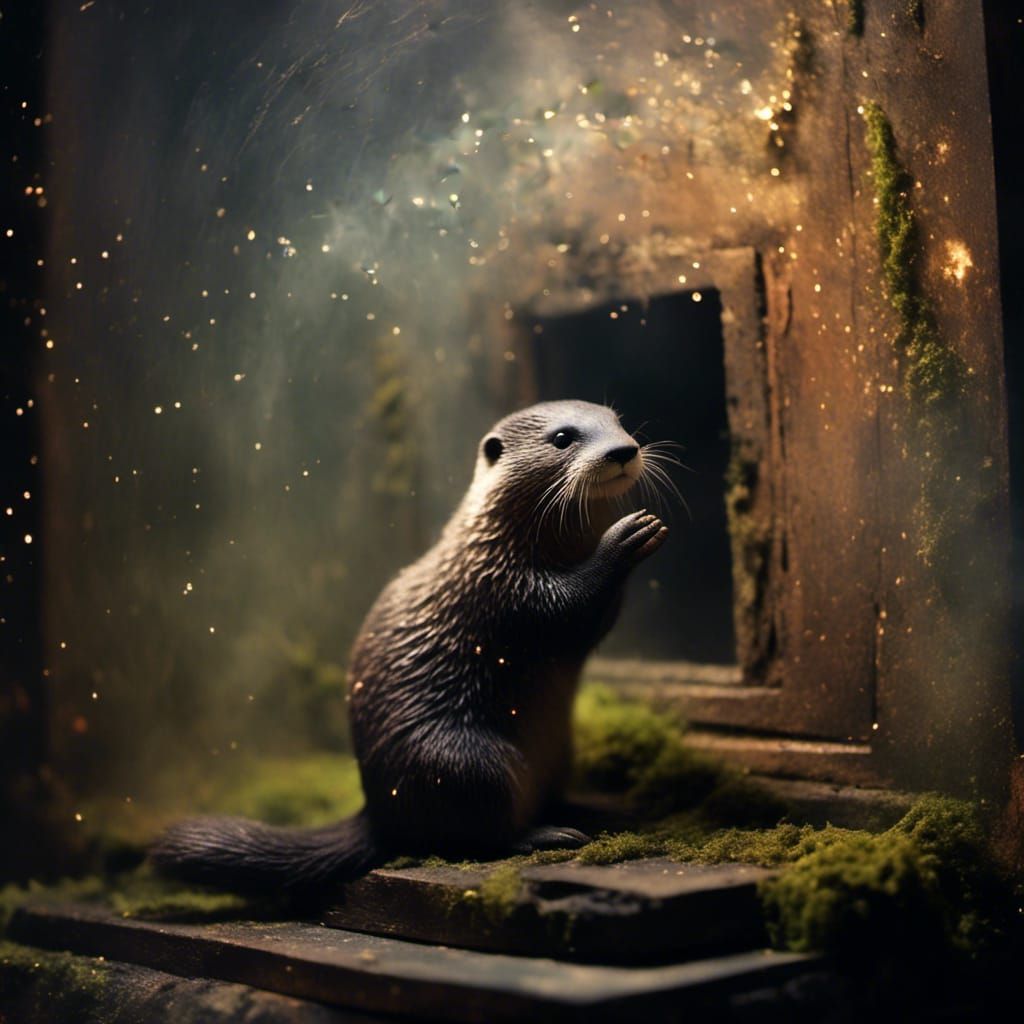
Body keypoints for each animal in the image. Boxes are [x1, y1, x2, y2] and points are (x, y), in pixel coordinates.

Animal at [152, 400, 668, 895]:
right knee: (478, 827)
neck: (503, 546)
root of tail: (379, 810)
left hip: (556, 751)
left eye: (618, 422)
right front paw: (624, 538)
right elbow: (565, 611)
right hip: (461, 758)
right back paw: (545, 833)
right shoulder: (500, 588)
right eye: (562, 437)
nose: (623, 451)